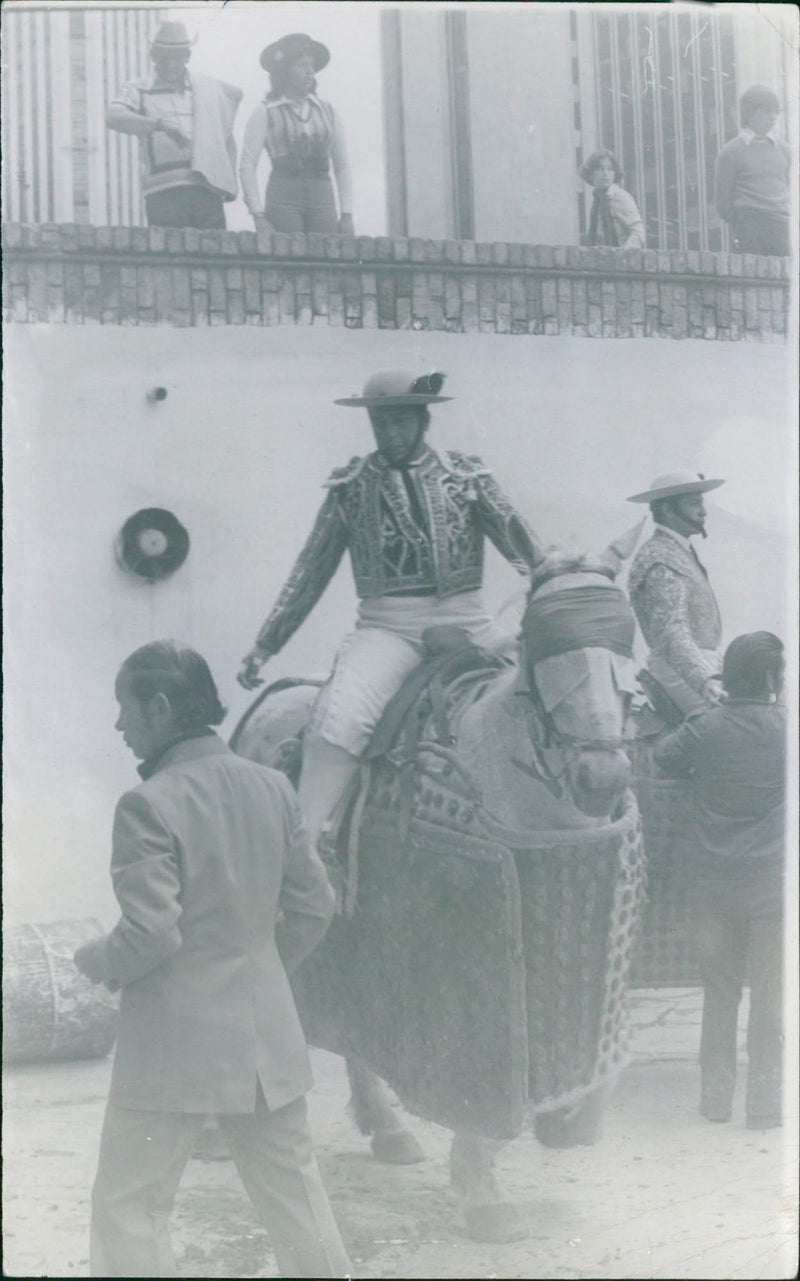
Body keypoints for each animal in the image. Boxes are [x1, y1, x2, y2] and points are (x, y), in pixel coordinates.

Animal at [232, 517, 650, 1240]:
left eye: (620, 642)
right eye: (547, 644)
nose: (601, 776)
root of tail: (270, 707)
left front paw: (559, 1128)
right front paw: (484, 1196)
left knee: (358, 1026)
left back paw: (388, 1128)